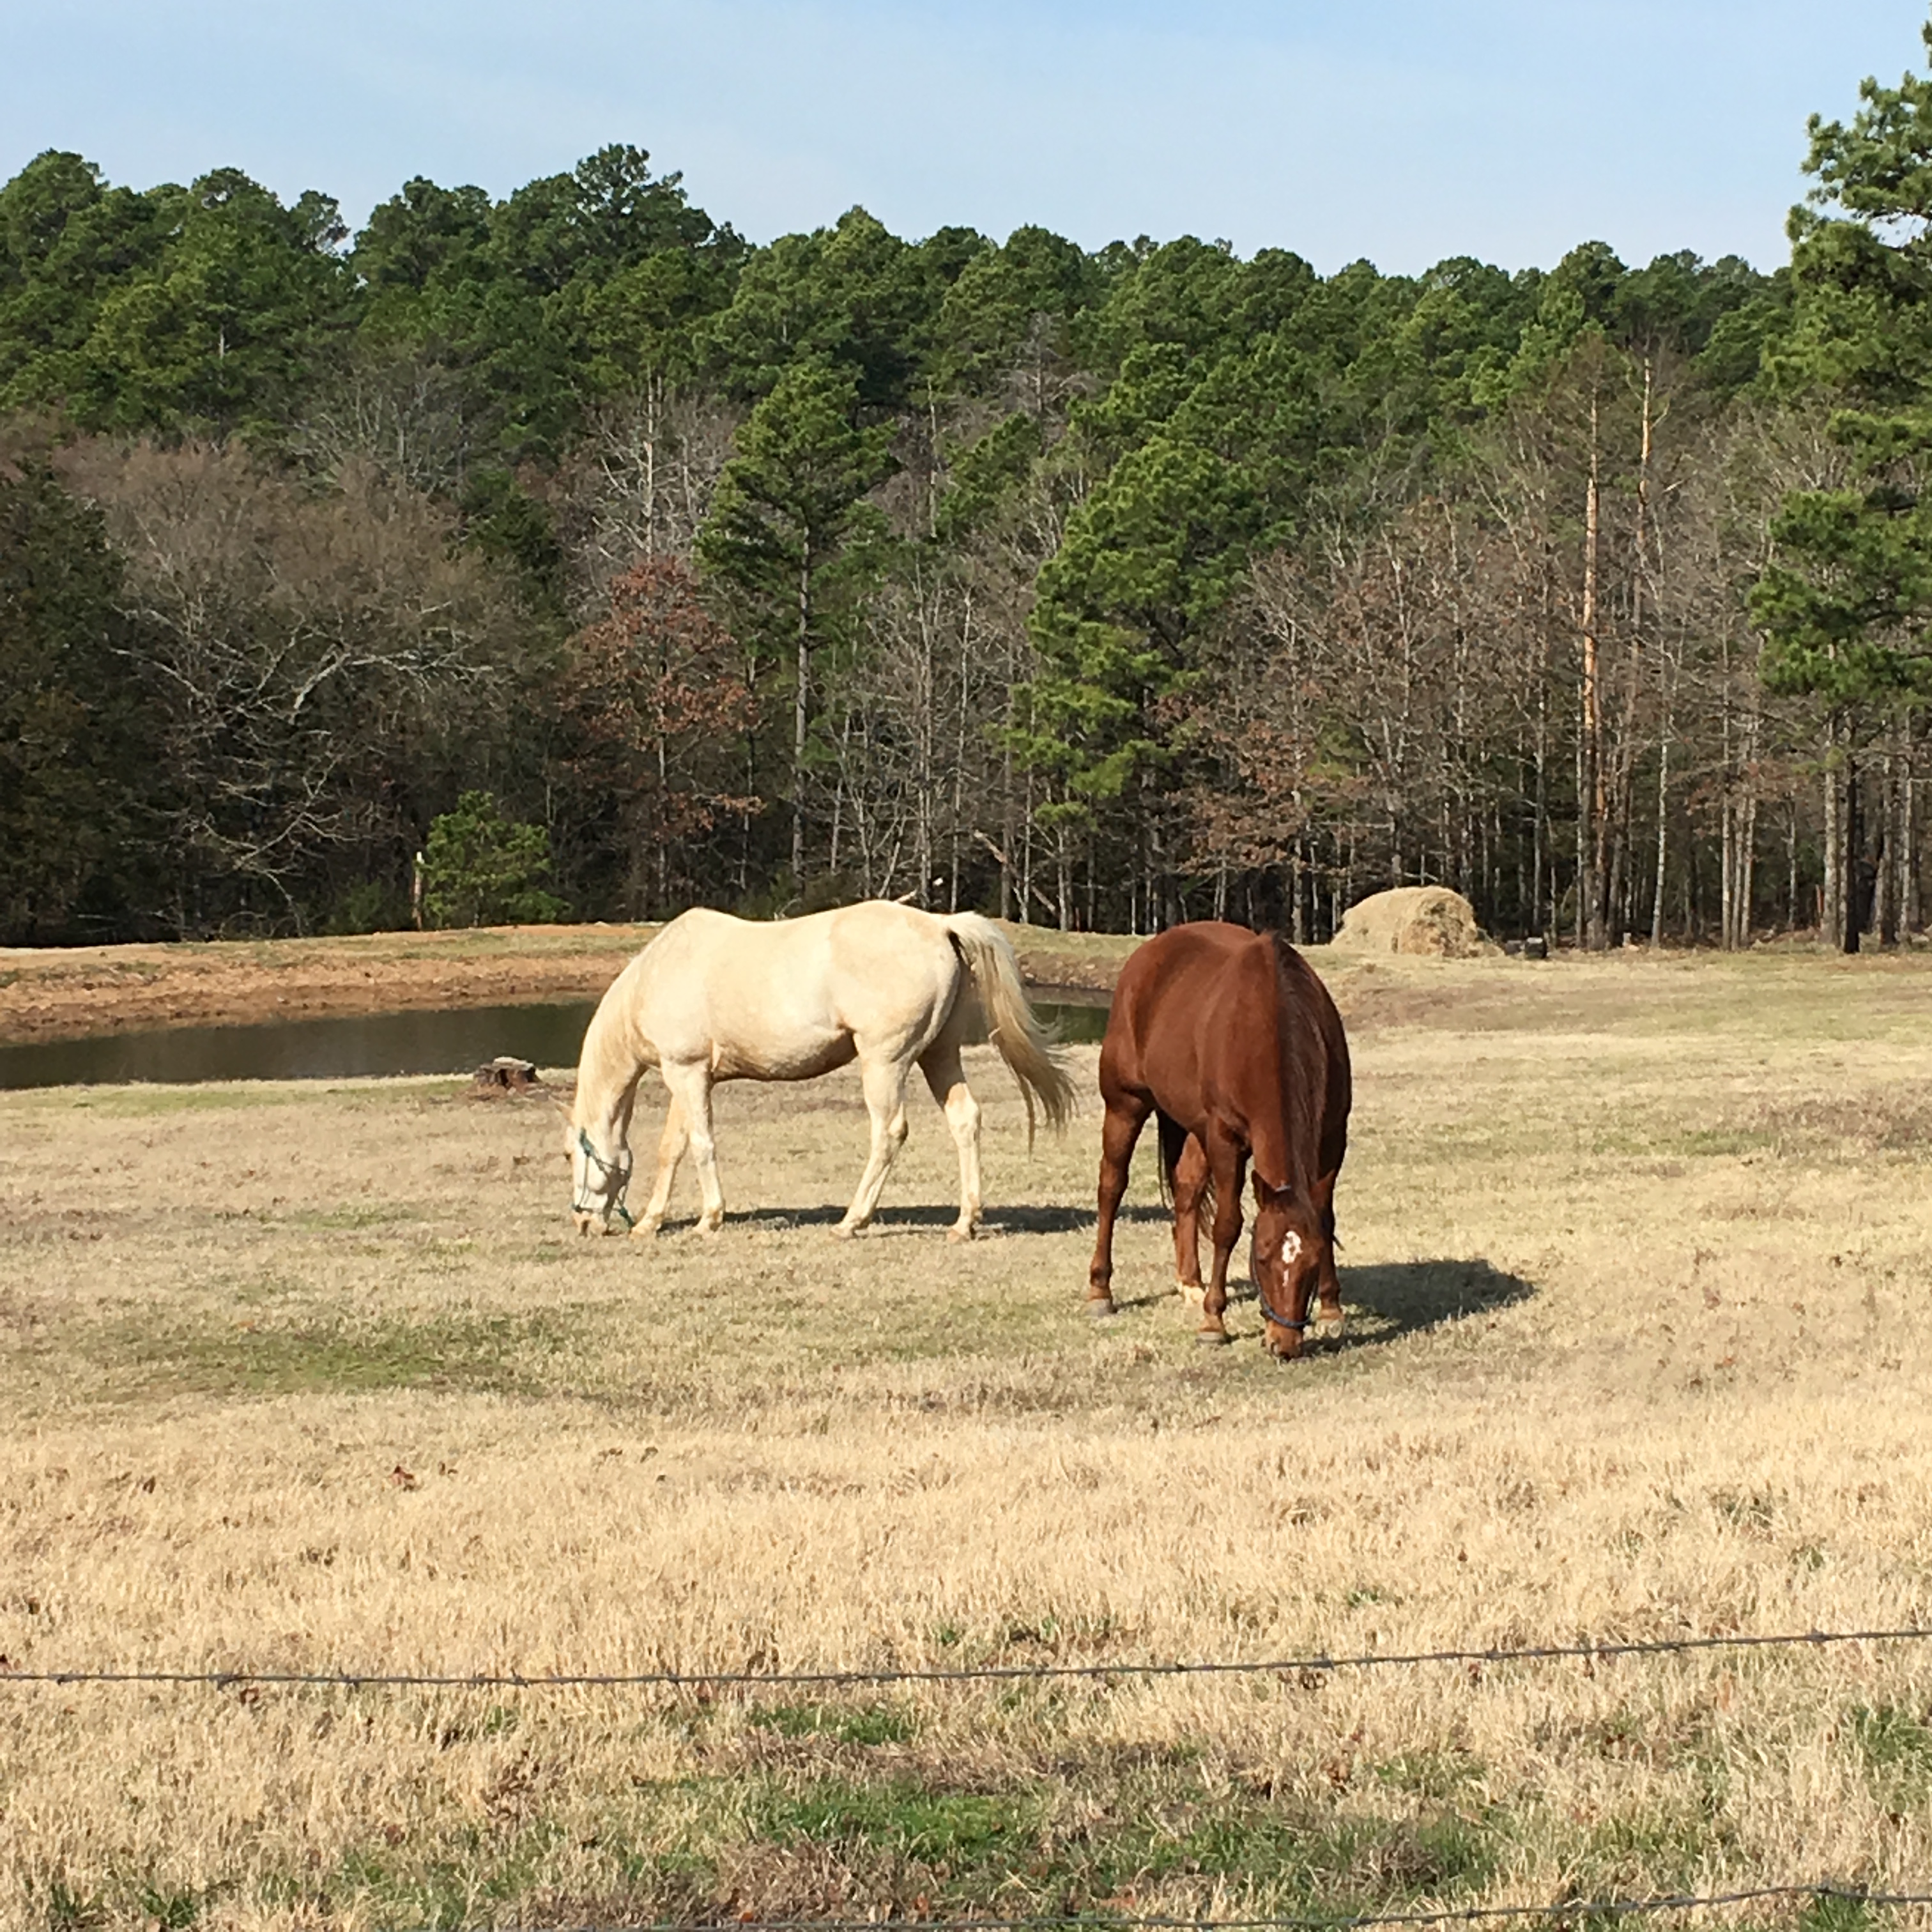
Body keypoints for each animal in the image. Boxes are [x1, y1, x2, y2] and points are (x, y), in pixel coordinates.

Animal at [568, 901, 1074, 1241]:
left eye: (571, 1155)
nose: (583, 1222)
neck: (658, 975)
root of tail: (939, 924)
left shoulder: (687, 1074)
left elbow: (701, 1145)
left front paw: (709, 1219)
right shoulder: (689, 1078)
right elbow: (673, 1148)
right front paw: (650, 1222)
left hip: (884, 1062)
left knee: (889, 1132)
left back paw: (852, 1221)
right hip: (940, 1055)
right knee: (965, 1120)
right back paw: (964, 1223)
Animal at [1086, 922, 1351, 1356]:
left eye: (1311, 1264)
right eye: (1262, 1258)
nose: (1284, 1344)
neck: (1269, 1022)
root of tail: (1149, 954)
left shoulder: (1332, 1138)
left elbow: (1325, 1217)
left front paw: (1332, 1310)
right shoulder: (1225, 1138)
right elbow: (1228, 1225)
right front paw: (1214, 1322)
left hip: (1193, 1126)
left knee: (1187, 1189)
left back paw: (1191, 1282)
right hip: (1125, 1104)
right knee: (1111, 1186)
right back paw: (1100, 1291)